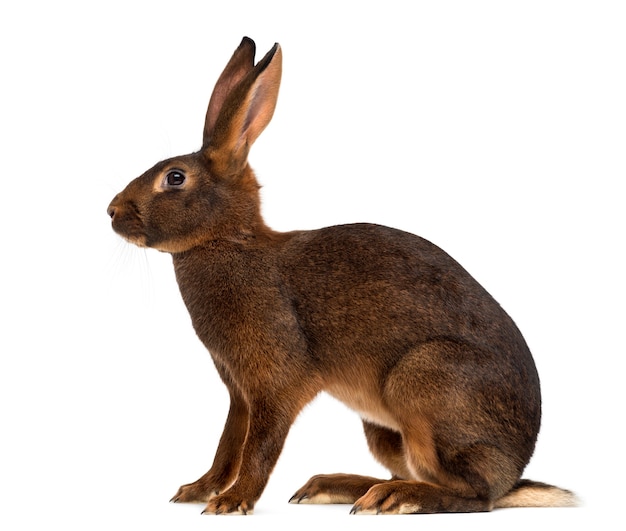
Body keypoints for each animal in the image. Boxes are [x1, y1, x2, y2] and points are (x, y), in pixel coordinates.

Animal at [107, 36, 576, 516]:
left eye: (174, 178)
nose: (111, 211)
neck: (230, 240)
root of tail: (512, 474)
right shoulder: (239, 393)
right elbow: (228, 446)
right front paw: (198, 490)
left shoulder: (276, 384)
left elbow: (259, 447)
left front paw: (232, 502)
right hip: (383, 429)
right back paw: (337, 487)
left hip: (424, 383)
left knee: (472, 495)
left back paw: (392, 497)